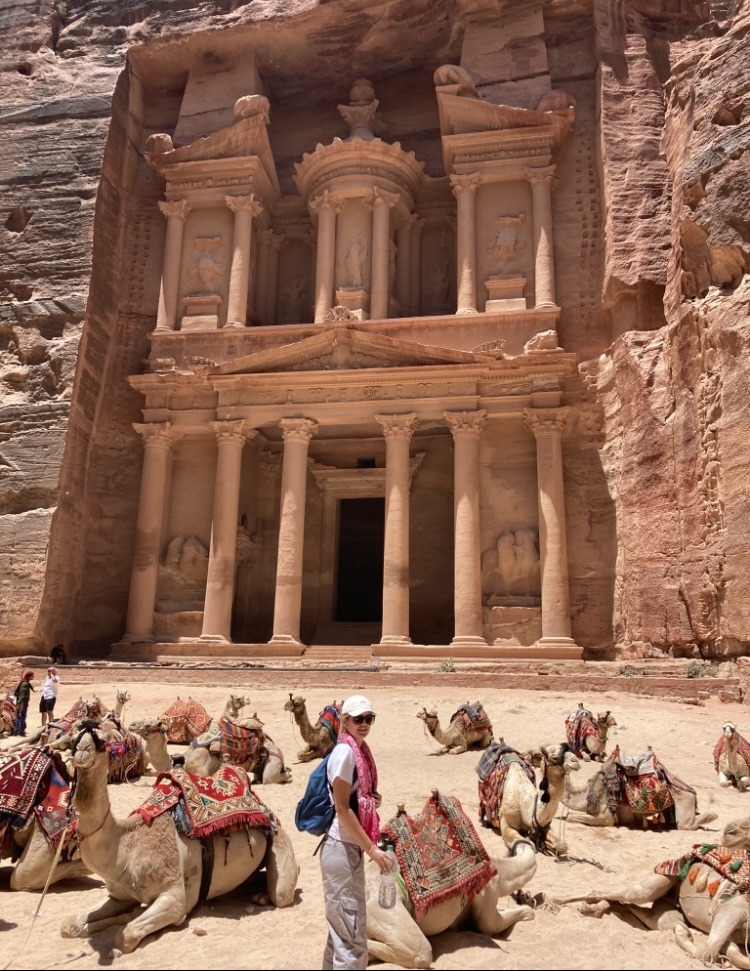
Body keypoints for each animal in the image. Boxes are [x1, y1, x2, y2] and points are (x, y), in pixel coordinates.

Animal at [368, 792, 536, 968]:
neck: (499, 870)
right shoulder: (486, 893)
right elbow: (493, 926)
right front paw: (527, 907)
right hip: (384, 908)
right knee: (420, 951)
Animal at [556, 816, 750, 968]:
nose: (730, 830)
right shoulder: (730, 911)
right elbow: (706, 953)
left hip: (664, 910)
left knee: (632, 908)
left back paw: (592, 908)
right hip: (653, 885)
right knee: (626, 894)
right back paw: (557, 901)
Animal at [568, 744, 720, 828]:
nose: (575, 761)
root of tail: (692, 792)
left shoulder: (607, 816)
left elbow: (572, 817)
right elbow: (571, 816)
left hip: (684, 802)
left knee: (687, 824)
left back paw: (713, 815)